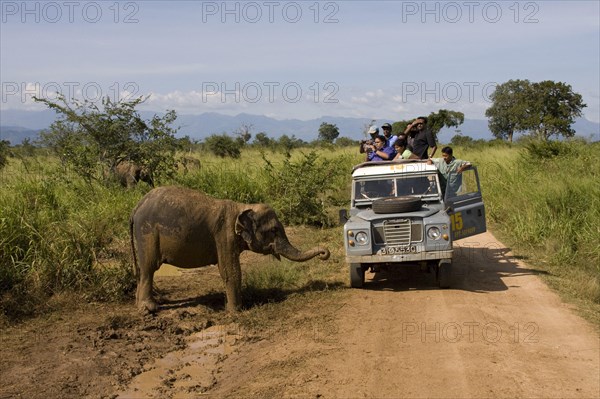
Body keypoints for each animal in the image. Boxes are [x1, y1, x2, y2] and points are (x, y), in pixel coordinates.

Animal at [129, 186, 332, 314]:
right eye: (274, 230)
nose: (325, 253)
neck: (241, 207)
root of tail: (136, 206)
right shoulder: (224, 235)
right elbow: (230, 271)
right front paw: (237, 312)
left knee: (142, 270)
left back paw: (143, 305)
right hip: (147, 233)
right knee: (148, 268)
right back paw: (149, 309)